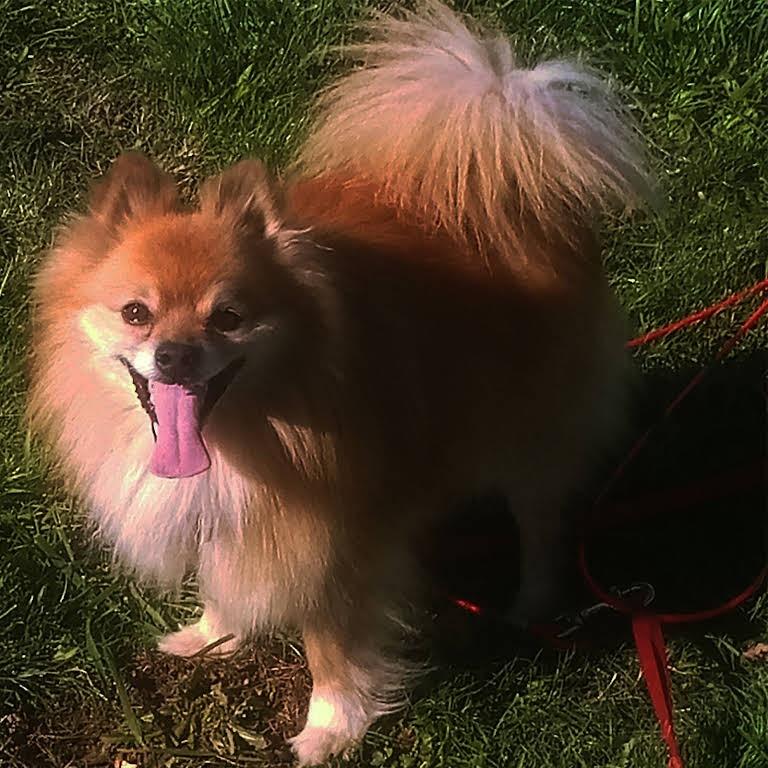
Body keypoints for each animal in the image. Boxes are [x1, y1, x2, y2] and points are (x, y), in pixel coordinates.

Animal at [28, 1, 655, 763]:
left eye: (228, 317)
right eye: (136, 313)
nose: (174, 355)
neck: (249, 434)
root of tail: (498, 177)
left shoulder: (336, 544)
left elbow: (330, 647)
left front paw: (329, 729)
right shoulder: (234, 517)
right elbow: (223, 577)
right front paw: (212, 635)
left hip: (532, 431)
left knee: (541, 521)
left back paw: (531, 604)